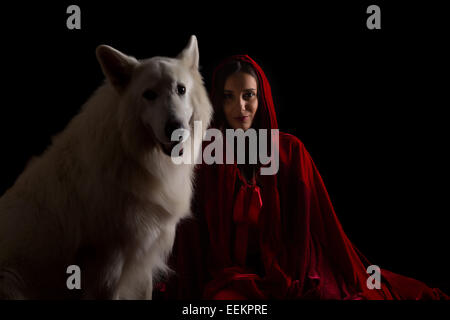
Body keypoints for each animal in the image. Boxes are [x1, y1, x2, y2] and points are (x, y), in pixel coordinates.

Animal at [0, 36, 213, 298]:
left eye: (181, 89)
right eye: (149, 95)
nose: (176, 128)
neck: (132, 154)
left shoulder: (142, 263)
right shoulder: (107, 267)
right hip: (10, 282)